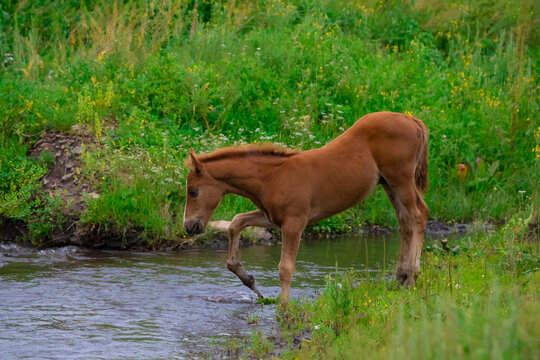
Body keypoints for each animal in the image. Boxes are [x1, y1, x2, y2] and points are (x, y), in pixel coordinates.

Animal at [184, 111, 428, 302]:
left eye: (193, 191)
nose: (189, 226)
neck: (273, 178)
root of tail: (411, 119)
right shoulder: (273, 217)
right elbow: (236, 221)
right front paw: (248, 280)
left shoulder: (294, 222)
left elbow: (285, 268)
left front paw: (282, 307)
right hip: (388, 184)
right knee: (405, 221)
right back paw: (400, 278)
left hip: (400, 179)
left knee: (419, 215)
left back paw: (412, 277)